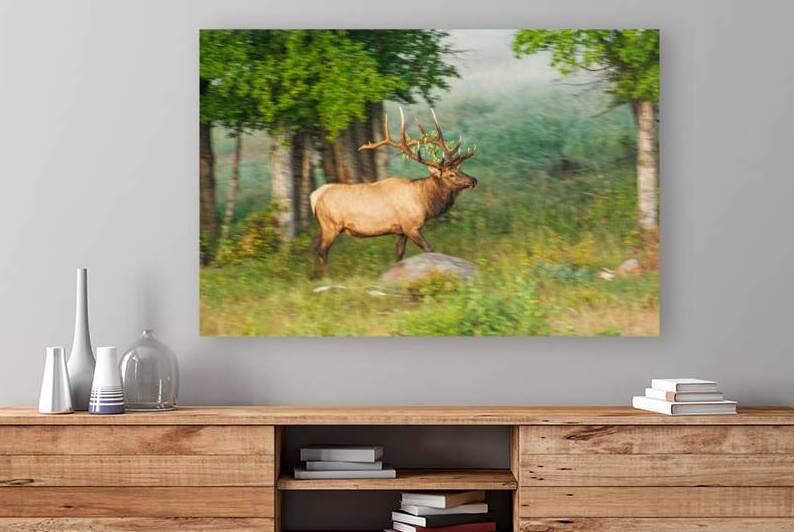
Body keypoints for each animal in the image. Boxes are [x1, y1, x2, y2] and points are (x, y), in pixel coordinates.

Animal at [309, 109, 478, 271]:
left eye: (460, 168)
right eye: (451, 174)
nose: (473, 180)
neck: (424, 202)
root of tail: (315, 196)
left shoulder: (400, 230)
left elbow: (399, 255)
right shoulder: (410, 226)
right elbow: (429, 249)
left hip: (324, 225)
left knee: (315, 243)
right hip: (331, 225)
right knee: (322, 249)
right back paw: (327, 276)